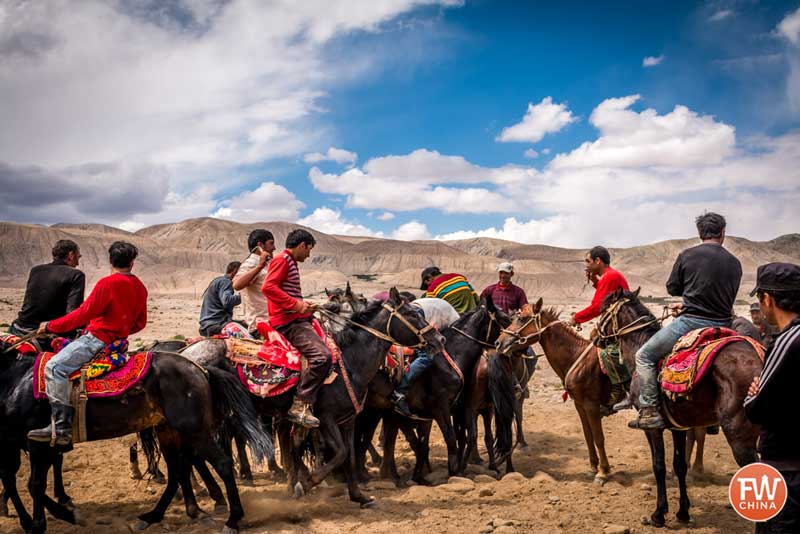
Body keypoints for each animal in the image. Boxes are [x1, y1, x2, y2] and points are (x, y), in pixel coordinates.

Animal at [0, 344, 272, 534]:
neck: (15, 380)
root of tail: (201, 369)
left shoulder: (39, 444)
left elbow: (34, 485)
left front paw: (43, 522)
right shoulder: (25, 444)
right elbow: (28, 484)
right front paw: (49, 518)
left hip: (195, 431)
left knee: (221, 464)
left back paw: (232, 520)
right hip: (167, 430)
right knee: (177, 471)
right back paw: (152, 516)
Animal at [180, 288, 450, 510]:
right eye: (412, 314)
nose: (440, 340)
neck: (349, 362)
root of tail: (185, 355)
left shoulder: (347, 420)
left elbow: (350, 456)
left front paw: (359, 497)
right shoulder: (325, 418)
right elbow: (338, 453)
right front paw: (306, 484)